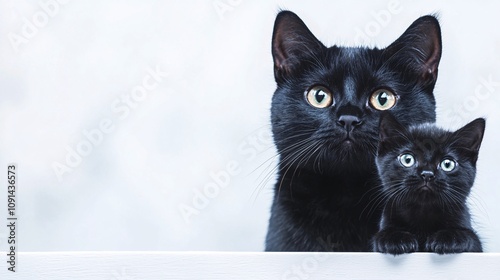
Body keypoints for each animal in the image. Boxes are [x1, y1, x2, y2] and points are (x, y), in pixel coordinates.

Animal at [372, 112, 484, 255]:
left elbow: (469, 236)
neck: (423, 214)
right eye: (407, 159)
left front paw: (448, 238)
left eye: (447, 164)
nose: (427, 174)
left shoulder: (476, 244)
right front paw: (395, 239)